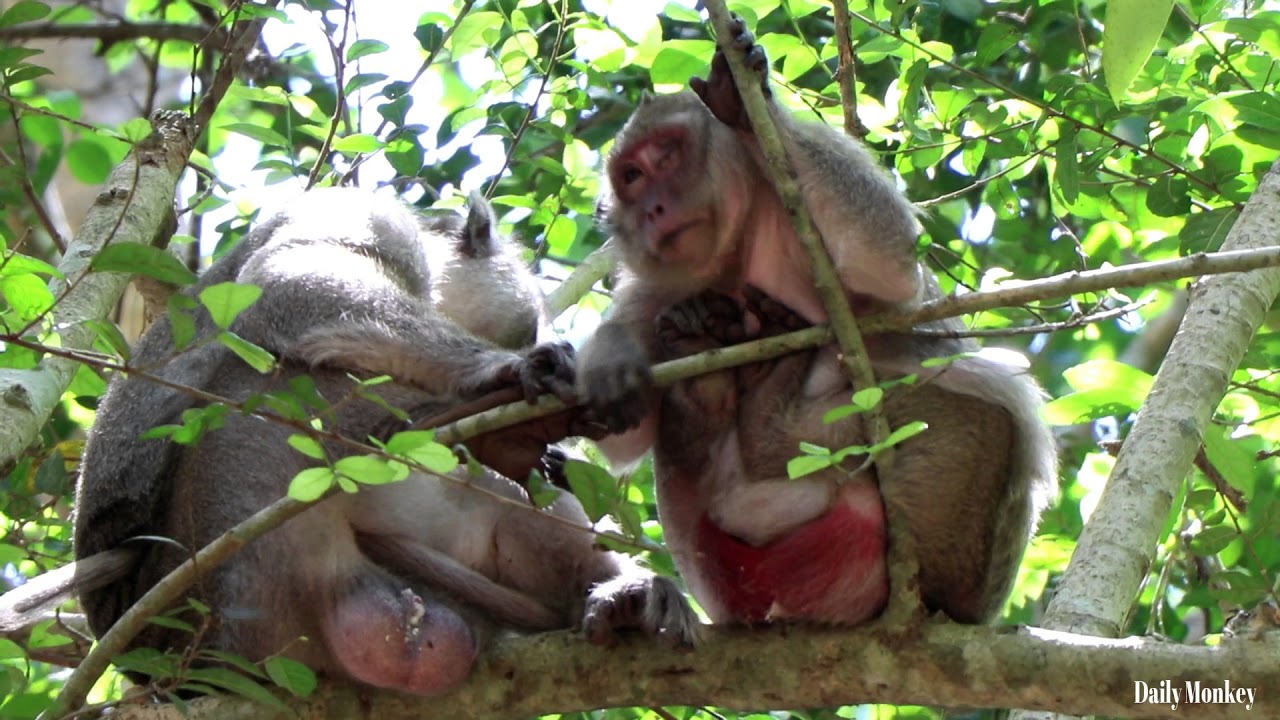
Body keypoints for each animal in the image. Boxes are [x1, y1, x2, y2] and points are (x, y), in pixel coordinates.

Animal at [67, 188, 697, 697]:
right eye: (524, 329)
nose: (532, 339)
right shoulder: (374, 218)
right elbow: (290, 281)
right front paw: (504, 369)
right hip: (229, 532)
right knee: (272, 375)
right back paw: (498, 433)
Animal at [576, 19, 1058, 627]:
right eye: (633, 176)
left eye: (666, 158)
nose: (652, 209)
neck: (741, 242)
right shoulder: (654, 288)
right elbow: (623, 436)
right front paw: (612, 359)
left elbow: (888, 267)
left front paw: (745, 102)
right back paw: (706, 376)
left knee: (989, 397)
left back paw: (767, 422)